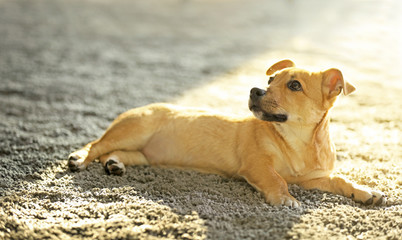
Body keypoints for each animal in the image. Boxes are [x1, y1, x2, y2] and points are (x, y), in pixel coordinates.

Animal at [68, 59, 386, 206]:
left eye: (294, 85)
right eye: (270, 80)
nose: (255, 90)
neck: (297, 141)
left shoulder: (313, 177)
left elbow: (341, 179)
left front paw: (365, 192)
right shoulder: (257, 164)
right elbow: (277, 179)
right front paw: (285, 199)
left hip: (145, 153)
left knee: (114, 153)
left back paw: (115, 163)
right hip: (136, 129)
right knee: (96, 144)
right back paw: (79, 158)